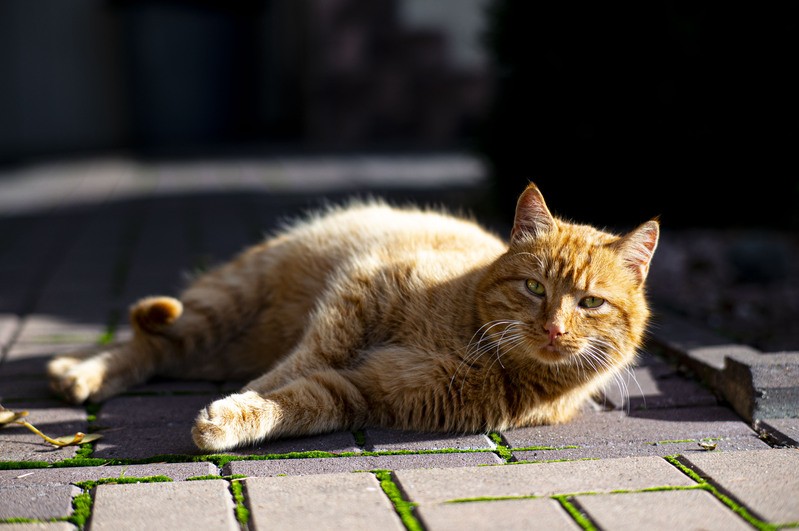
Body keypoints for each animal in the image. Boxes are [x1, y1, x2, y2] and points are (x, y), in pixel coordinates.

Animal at [51, 184, 664, 454]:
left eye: (591, 303)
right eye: (535, 287)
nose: (555, 327)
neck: (479, 345)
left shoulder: (367, 392)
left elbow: (299, 401)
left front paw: (237, 417)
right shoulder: (361, 292)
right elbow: (295, 367)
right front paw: (244, 399)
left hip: (217, 349)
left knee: (160, 352)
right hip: (224, 304)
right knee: (147, 343)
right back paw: (77, 373)